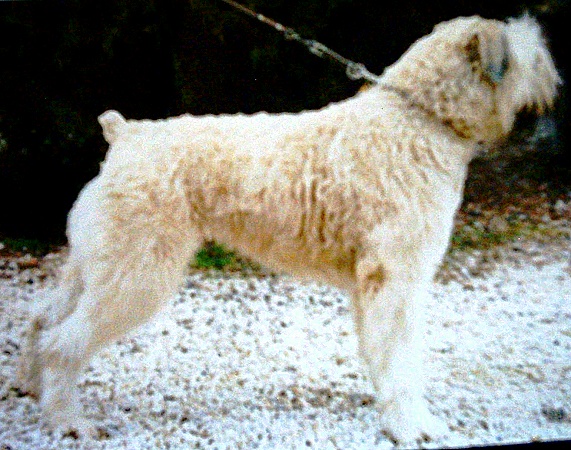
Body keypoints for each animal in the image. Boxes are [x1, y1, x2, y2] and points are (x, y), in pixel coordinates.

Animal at [16, 14, 560, 446]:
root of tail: (125, 135)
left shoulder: (375, 284)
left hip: (96, 266)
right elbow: (402, 357)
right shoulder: (399, 279)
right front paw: (413, 425)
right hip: (135, 275)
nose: (556, 85)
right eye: (532, 54)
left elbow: (379, 351)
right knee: (63, 342)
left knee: (43, 321)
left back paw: (29, 387)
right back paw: (68, 421)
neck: (420, 117)